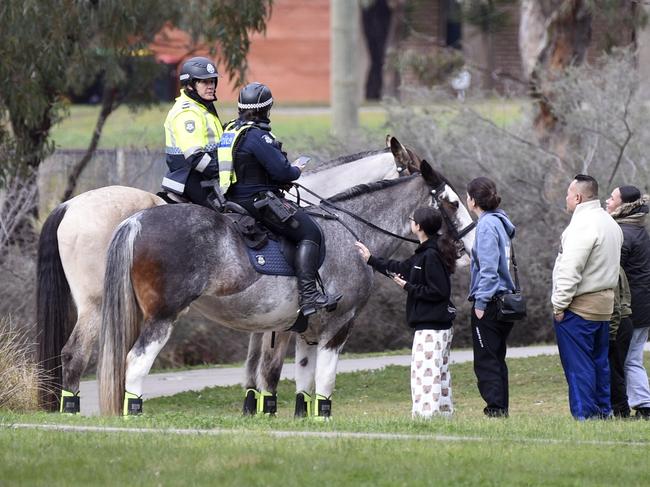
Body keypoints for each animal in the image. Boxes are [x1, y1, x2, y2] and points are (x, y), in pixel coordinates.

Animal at [36, 137, 410, 412]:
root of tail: (68, 205)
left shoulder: (265, 315)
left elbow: (254, 363)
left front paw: (254, 406)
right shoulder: (285, 320)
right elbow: (271, 367)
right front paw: (267, 406)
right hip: (99, 306)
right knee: (76, 355)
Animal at [97, 159, 470, 416]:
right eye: (452, 202)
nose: (469, 246)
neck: (348, 230)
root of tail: (136, 219)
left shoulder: (307, 331)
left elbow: (304, 377)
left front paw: (305, 416)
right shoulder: (339, 325)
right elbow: (325, 377)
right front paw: (323, 416)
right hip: (162, 318)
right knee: (135, 361)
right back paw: (134, 412)